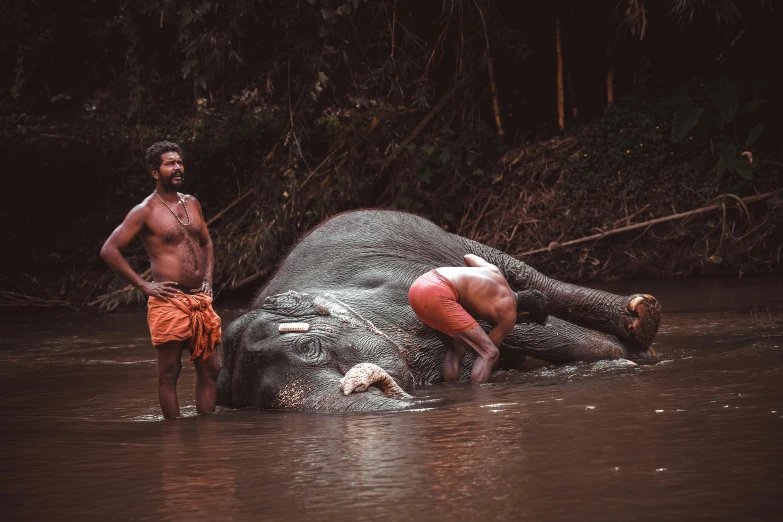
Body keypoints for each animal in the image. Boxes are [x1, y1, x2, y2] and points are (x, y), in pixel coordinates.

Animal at [219, 208, 660, 410]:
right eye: (255, 403)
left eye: (308, 348)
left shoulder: (401, 289)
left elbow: (529, 327)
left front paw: (632, 360)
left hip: (447, 239)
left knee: (527, 278)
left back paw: (643, 317)